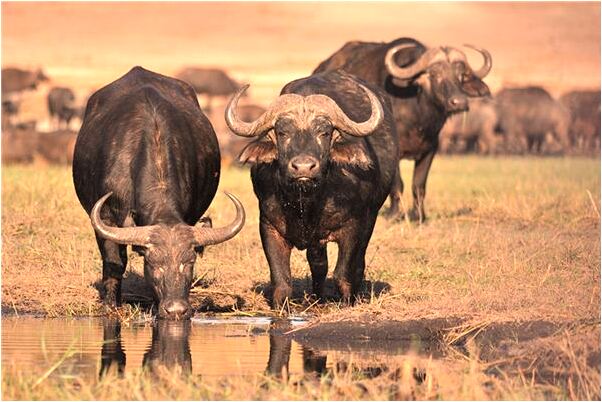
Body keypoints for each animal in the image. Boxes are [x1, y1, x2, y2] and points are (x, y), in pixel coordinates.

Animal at [72, 66, 244, 320]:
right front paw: (110, 306)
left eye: (189, 262)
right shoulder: (105, 218)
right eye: (153, 264)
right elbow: (114, 262)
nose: (177, 310)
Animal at [224, 70, 394, 306]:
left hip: (372, 218)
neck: (307, 202)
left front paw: (347, 302)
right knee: (319, 264)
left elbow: (343, 274)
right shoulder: (268, 226)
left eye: (324, 133)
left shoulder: (355, 226)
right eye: (282, 132)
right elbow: (281, 280)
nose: (303, 167)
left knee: (357, 262)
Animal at [312, 37, 490, 223]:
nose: (459, 102)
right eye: (435, 74)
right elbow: (397, 185)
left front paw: (419, 216)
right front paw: (394, 214)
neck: (417, 115)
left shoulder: (430, 149)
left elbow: (419, 185)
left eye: (461, 76)